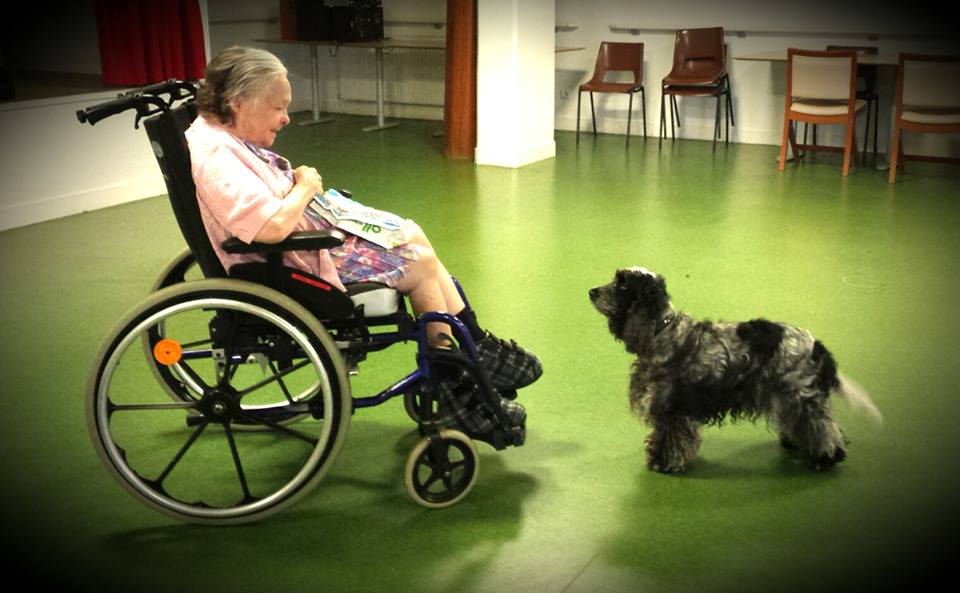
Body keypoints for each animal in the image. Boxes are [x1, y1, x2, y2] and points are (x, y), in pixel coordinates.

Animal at [588, 268, 880, 472]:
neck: (662, 332)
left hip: (801, 396)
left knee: (823, 428)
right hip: (788, 397)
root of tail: (818, 346)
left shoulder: (673, 406)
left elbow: (669, 437)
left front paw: (663, 463)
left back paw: (825, 458)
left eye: (622, 283)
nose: (591, 291)